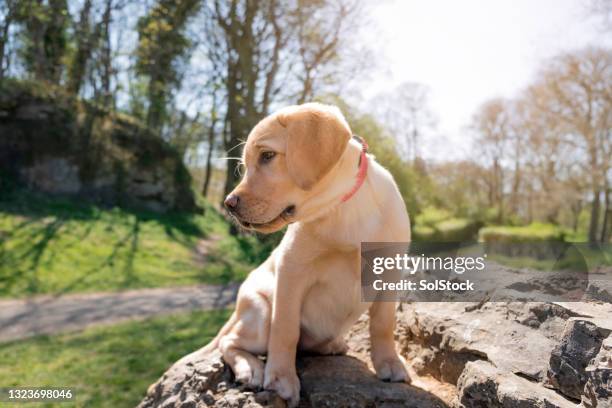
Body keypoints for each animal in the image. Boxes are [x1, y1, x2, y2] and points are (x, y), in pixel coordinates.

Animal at [212, 103, 412, 408]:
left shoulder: (390, 272)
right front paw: (281, 379)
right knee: (231, 342)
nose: (228, 204)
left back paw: (332, 345)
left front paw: (390, 362)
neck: (340, 206)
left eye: (267, 156)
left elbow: (383, 323)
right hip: (260, 312)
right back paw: (252, 369)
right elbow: (284, 329)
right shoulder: (291, 270)